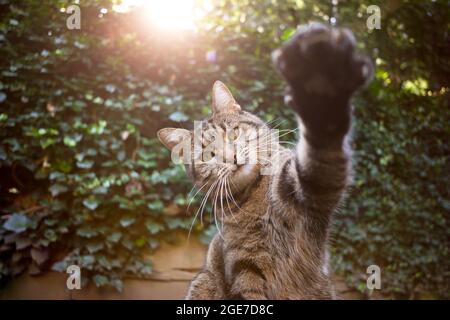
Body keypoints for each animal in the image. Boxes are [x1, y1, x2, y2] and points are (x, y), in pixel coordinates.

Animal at [158, 23, 372, 300]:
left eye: (233, 133)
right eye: (209, 155)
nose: (231, 157)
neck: (254, 196)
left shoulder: (306, 189)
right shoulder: (245, 268)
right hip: (203, 282)